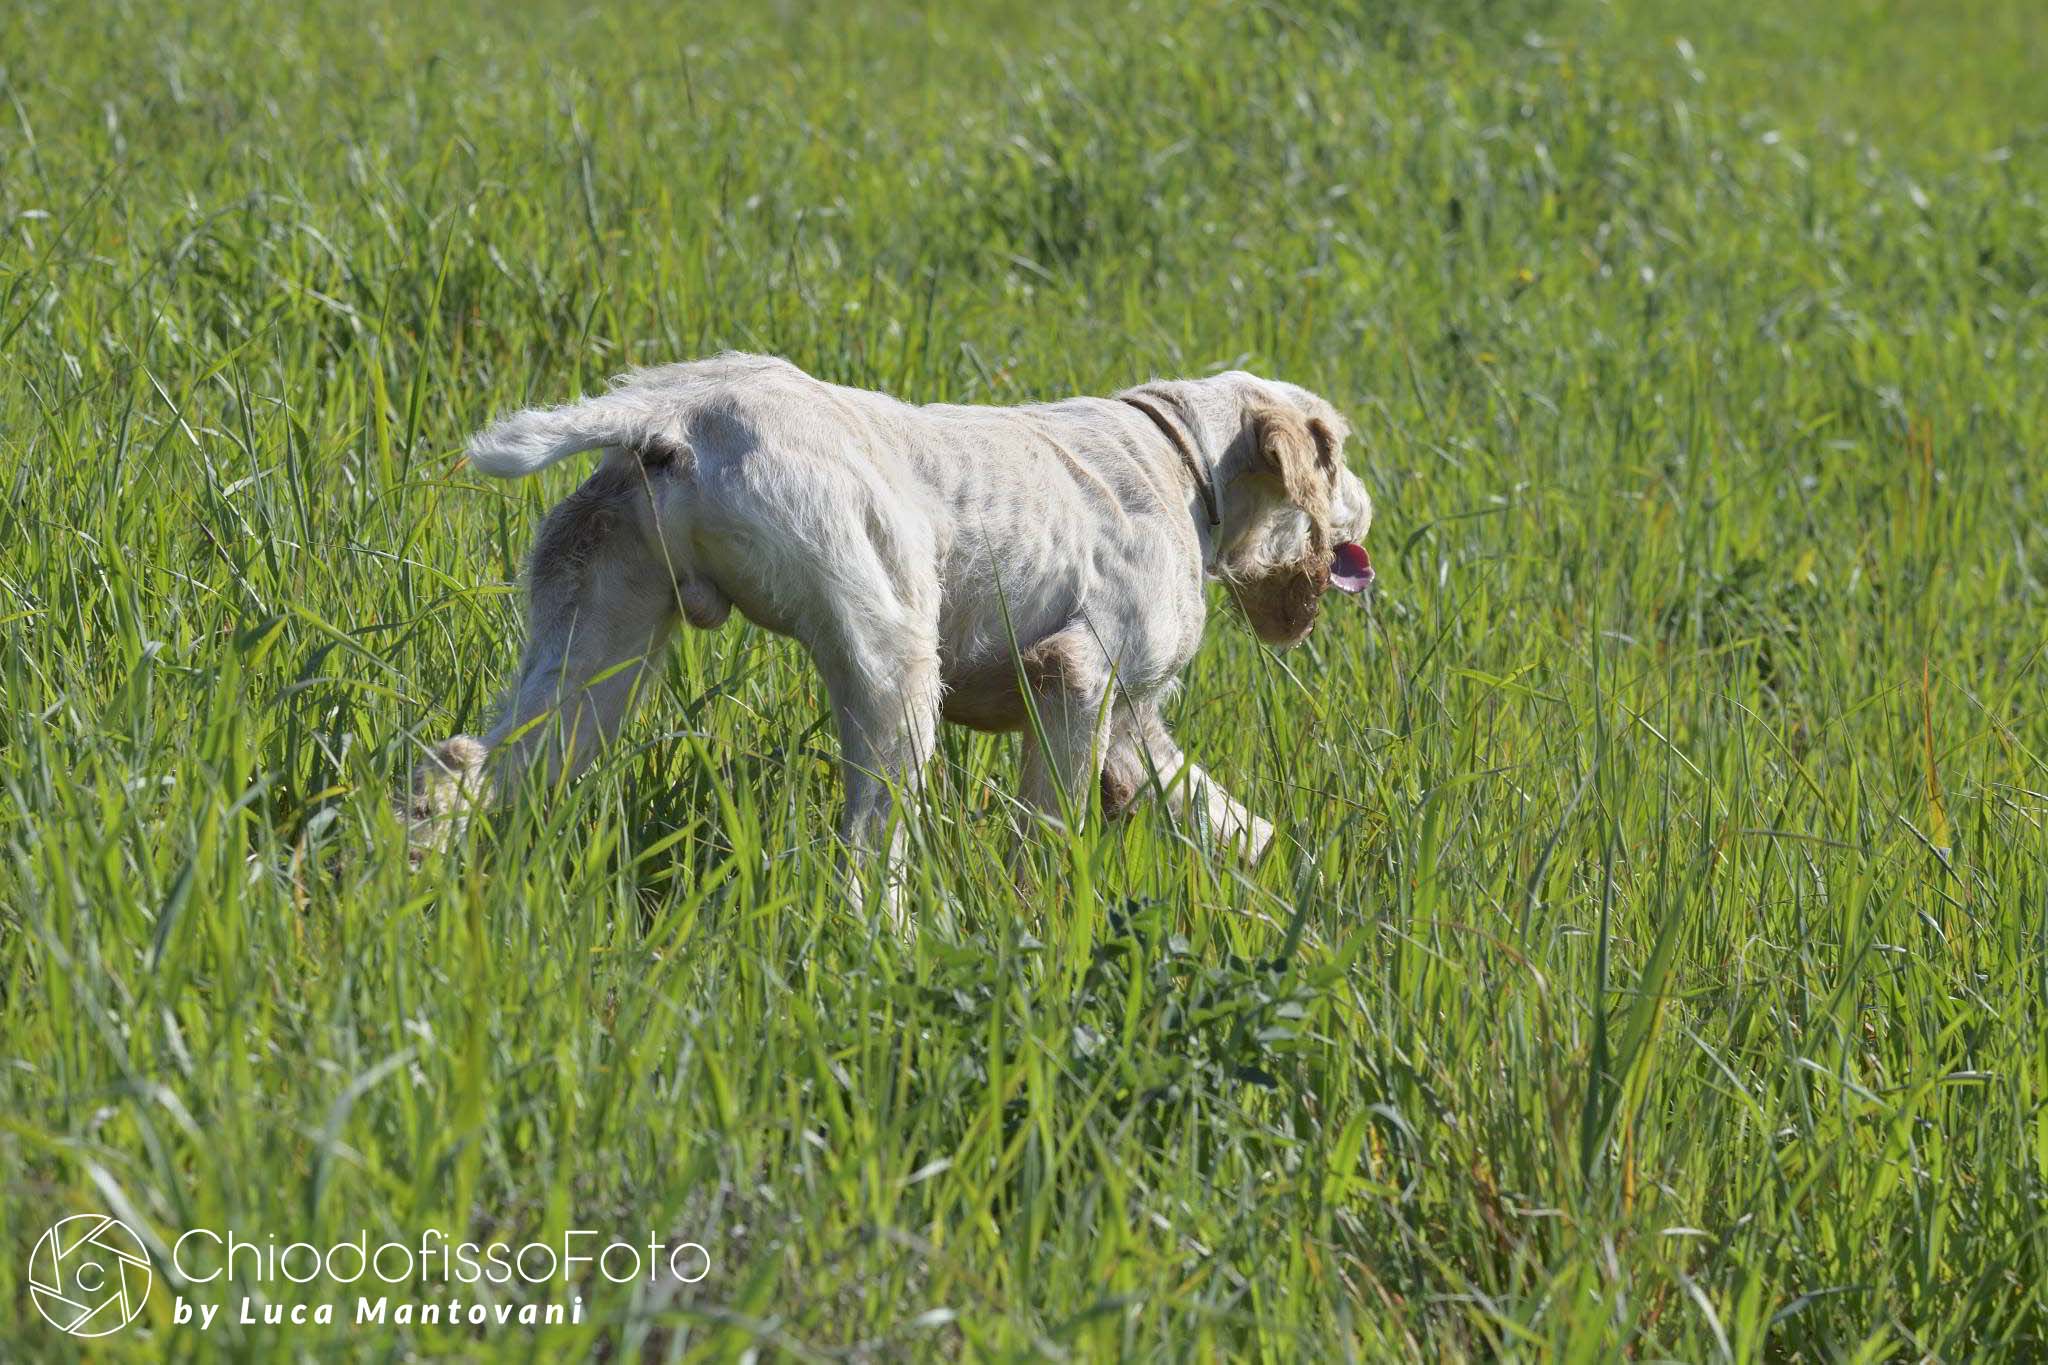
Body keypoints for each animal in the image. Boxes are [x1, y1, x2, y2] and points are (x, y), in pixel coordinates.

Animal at [410, 353, 1374, 890]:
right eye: (1335, 449)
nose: (1369, 508)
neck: (1182, 461)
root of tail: (677, 418)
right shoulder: (1077, 679)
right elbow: (1047, 838)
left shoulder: (1132, 723)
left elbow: (1224, 817)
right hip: (893, 668)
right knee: (872, 850)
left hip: (593, 655)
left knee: (462, 765)